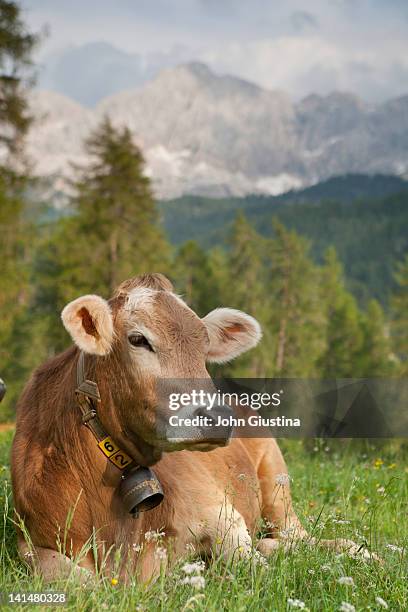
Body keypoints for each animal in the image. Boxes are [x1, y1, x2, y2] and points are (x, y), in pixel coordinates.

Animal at [11, 274, 370, 584]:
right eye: (138, 339)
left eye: (204, 345)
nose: (217, 416)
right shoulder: (30, 542)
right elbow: (75, 581)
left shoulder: (223, 514)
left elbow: (252, 570)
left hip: (277, 484)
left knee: (300, 536)